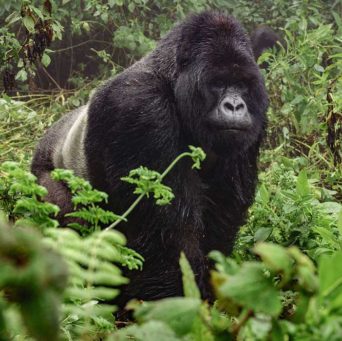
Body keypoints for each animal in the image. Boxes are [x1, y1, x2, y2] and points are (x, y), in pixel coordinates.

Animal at [31, 11, 268, 304]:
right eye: (218, 83)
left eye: (242, 86)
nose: (235, 105)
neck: (171, 81)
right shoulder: (140, 107)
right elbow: (168, 236)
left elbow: (222, 216)